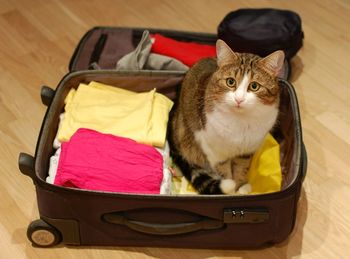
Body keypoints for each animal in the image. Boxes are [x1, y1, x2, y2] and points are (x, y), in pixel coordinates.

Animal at [170, 39, 284, 195]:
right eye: (230, 82)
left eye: (254, 86)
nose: (239, 99)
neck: (241, 121)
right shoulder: (215, 151)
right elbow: (224, 172)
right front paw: (230, 192)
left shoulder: (246, 151)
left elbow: (241, 169)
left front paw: (241, 187)